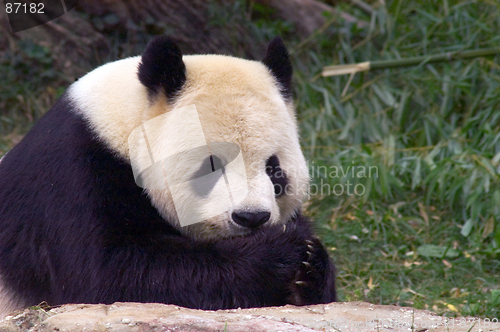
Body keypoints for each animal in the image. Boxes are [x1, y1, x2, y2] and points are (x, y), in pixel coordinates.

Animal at [0, 35, 336, 318]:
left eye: (274, 169)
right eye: (211, 165)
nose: (251, 217)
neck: (122, 126)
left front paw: (309, 266)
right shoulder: (73, 177)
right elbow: (111, 276)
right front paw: (281, 248)